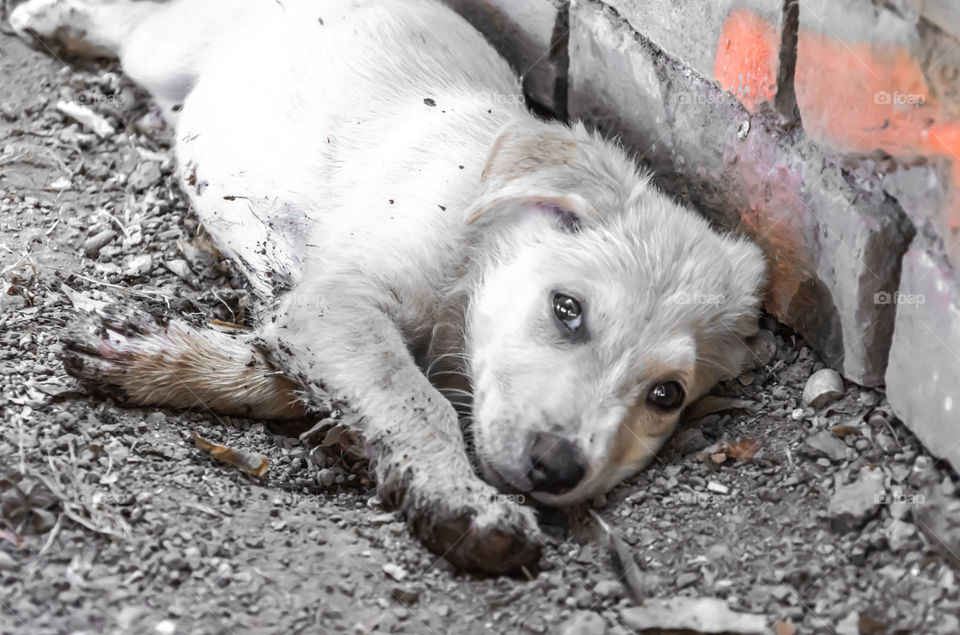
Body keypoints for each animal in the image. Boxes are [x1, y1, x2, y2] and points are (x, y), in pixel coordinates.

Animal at [13, 0, 764, 576]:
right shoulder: (332, 302)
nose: (556, 469)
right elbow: (415, 399)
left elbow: (308, 383)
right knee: (136, 22)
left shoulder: (309, 317)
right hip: (166, 48)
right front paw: (465, 504)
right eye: (567, 309)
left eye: (666, 396)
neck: (474, 245)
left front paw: (153, 357)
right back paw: (57, 20)